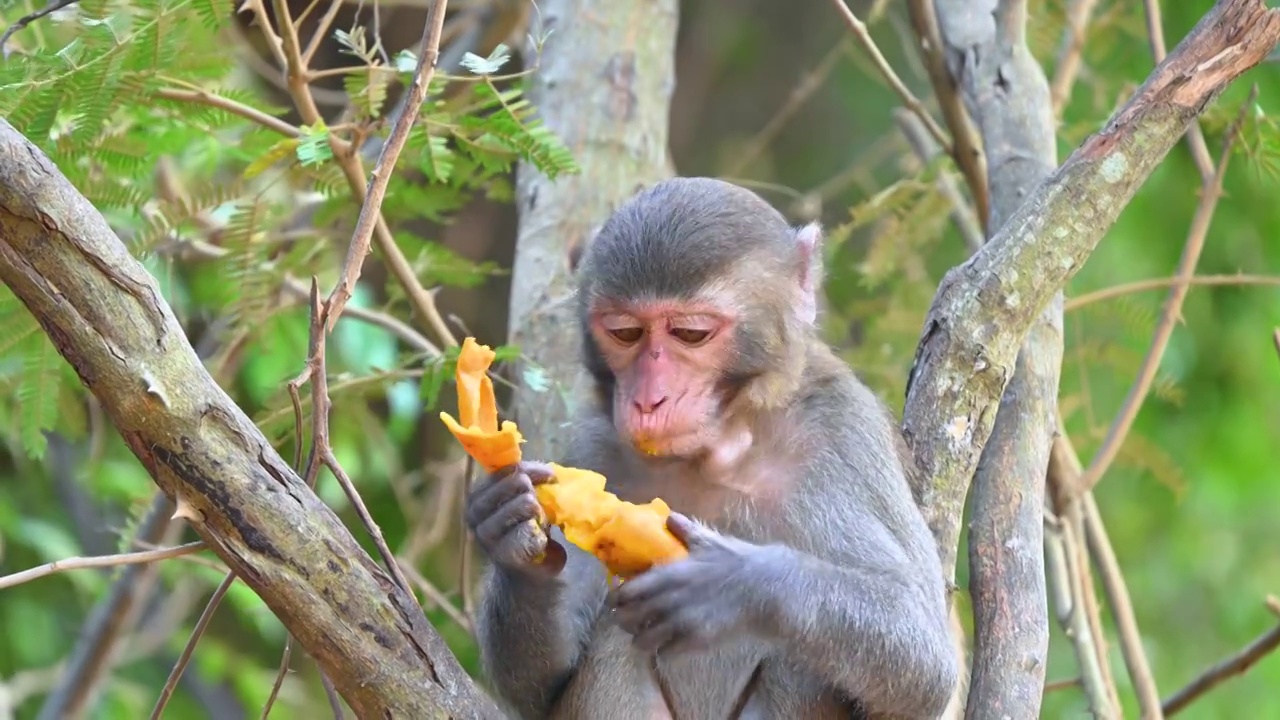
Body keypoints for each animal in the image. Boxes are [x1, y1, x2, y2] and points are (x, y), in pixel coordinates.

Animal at [468, 175, 962, 717]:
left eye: (691, 333)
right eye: (625, 332)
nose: (647, 399)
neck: (724, 446)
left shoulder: (844, 433)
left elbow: (924, 661)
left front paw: (733, 583)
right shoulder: (593, 444)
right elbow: (537, 688)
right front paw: (511, 534)